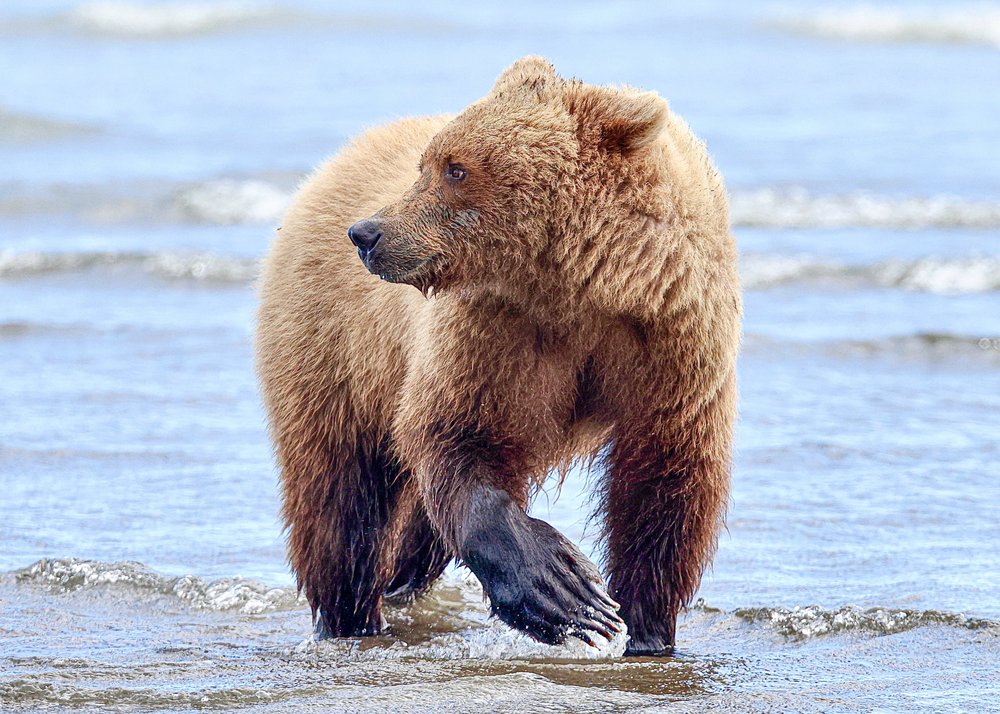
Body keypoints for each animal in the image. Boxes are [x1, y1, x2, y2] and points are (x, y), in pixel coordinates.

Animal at [255, 56, 740, 655]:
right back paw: (348, 617)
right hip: (332, 349)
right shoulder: (493, 332)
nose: (366, 233)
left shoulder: (671, 341)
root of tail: (333, 163)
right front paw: (564, 591)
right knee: (341, 503)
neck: (580, 284)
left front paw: (645, 629)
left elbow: (665, 480)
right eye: (428, 164)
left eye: (455, 169)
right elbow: (459, 435)